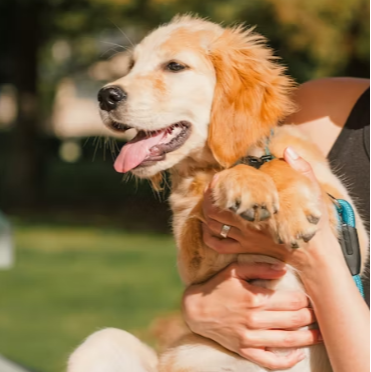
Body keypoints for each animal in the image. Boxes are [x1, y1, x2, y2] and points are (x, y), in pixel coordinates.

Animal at [68, 16, 370, 372]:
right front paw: (242, 185)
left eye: (174, 66)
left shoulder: (350, 228)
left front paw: (289, 210)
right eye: (130, 65)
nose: (105, 96)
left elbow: (279, 163)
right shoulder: (194, 267)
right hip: (104, 343)